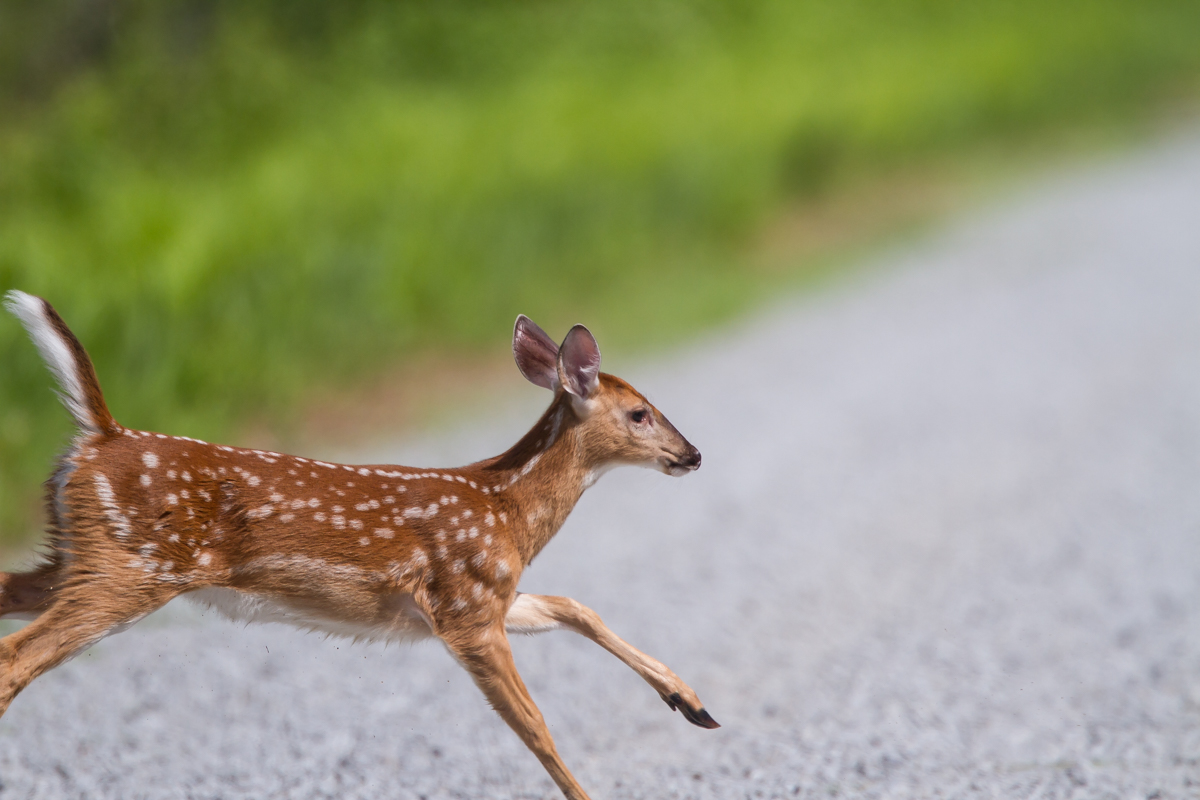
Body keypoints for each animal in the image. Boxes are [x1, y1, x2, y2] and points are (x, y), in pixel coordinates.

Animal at [0, 290, 716, 799]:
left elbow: (575, 607)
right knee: (16, 659)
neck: (507, 510)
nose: (693, 454)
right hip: (130, 568)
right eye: (640, 413)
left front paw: (692, 704)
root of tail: (101, 435)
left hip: (76, 556)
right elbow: (535, 725)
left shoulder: (476, 599)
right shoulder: (466, 608)